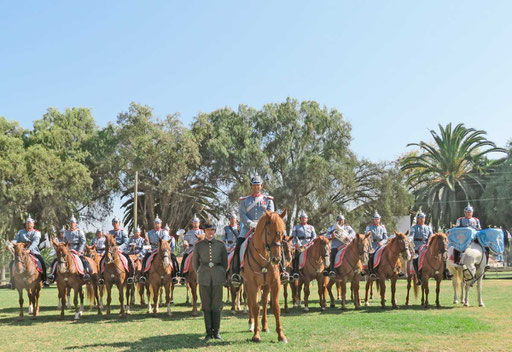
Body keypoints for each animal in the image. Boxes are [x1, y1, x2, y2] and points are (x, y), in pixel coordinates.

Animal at [241, 210, 288, 342]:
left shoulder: (275, 282)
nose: (276, 259)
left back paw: (265, 326)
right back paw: (251, 325)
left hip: (266, 286)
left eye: (283, 233)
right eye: (269, 232)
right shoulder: (252, 284)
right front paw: (256, 335)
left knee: (265, 302)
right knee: (250, 302)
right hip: (248, 285)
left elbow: (275, 307)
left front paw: (281, 335)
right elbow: (255, 307)